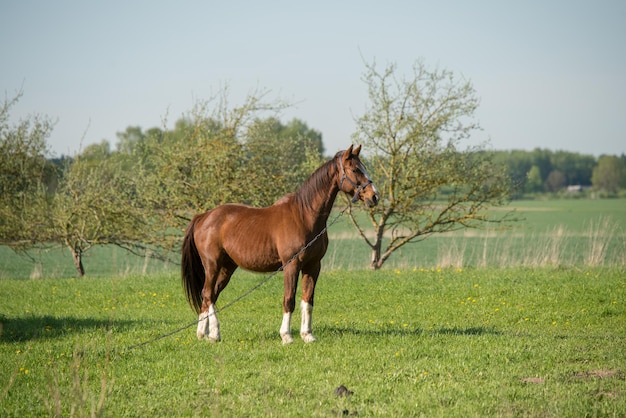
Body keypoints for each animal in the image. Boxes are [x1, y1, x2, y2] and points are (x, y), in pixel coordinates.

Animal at [178, 145, 378, 344]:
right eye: (355, 169)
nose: (374, 196)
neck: (304, 216)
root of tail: (203, 217)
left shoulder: (313, 266)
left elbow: (308, 300)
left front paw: (307, 335)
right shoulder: (292, 265)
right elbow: (289, 299)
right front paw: (286, 336)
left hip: (227, 267)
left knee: (210, 295)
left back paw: (203, 334)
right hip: (212, 264)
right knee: (207, 294)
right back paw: (215, 333)